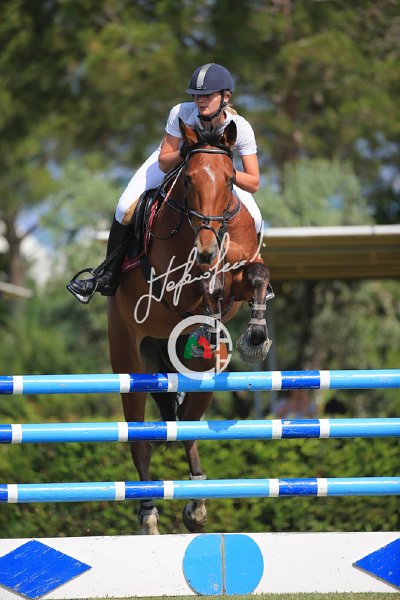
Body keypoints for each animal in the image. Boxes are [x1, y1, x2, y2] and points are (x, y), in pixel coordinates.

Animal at [107, 119, 273, 534]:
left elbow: (256, 275)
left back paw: (196, 504)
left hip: (201, 378)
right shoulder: (173, 286)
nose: (207, 250)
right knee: (140, 440)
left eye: (231, 180)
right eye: (189, 180)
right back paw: (148, 512)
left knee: (187, 426)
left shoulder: (243, 270)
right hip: (130, 363)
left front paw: (255, 338)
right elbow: (203, 284)